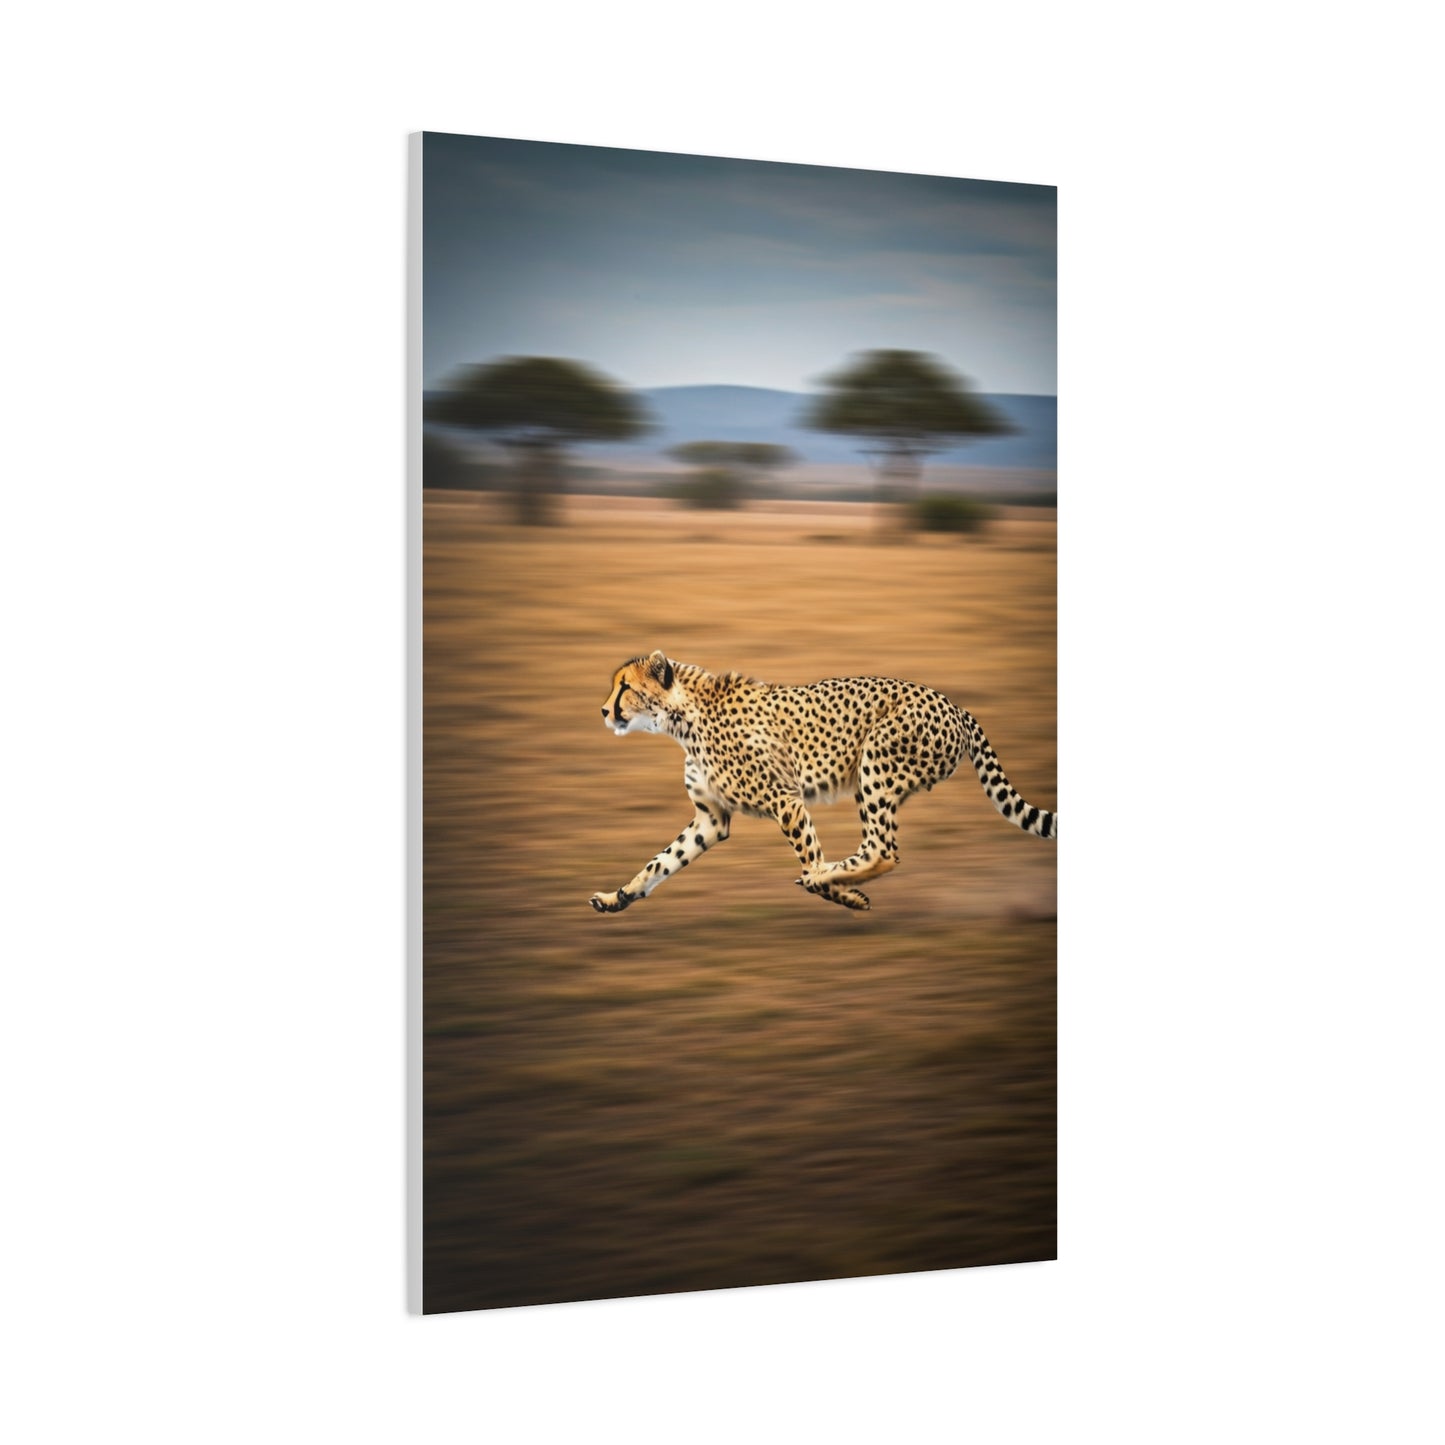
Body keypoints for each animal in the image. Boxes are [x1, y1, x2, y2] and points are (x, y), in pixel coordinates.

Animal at [588, 651, 1055, 914]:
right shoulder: (711, 819)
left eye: (625, 687)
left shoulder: (786, 799)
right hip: (873, 778)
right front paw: (618, 897)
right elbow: (660, 861)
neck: (684, 717)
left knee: (883, 850)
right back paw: (836, 874)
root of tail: (954, 704)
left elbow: (807, 853)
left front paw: (839, 893)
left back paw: (826, 877)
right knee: (876, 846)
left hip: (875, 762)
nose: (604, 711)